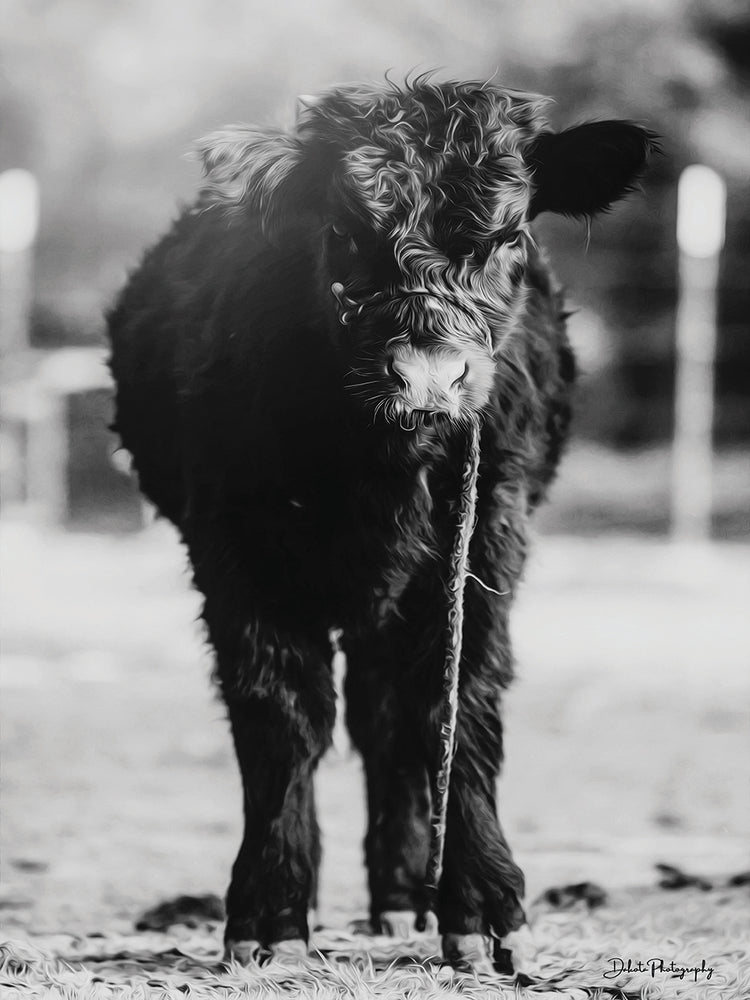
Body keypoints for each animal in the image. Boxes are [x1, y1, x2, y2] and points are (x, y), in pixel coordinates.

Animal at [107, 78, 654, 972]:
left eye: (509, 235)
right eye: (341, 232)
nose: (428, 377)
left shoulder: (488, 538)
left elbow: (458, 702)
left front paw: (483, 907)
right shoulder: (233, 545)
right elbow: (281, 716)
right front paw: (269, 911)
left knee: (390, 717)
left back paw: (403, 896)